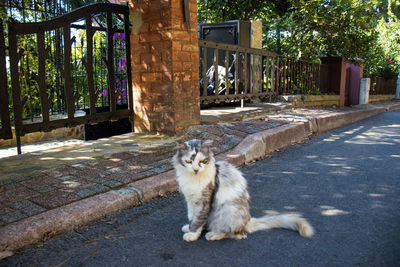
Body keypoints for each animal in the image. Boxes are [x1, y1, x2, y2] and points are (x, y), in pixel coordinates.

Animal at [173, 140, 314, 243]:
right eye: (189, 161)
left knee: (231, 233)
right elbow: (192, 217)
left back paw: (213, 235)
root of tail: (247, 221)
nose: (196, 170)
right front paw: (189, 228)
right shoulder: (190, 201)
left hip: (226, 210)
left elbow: (198, 220)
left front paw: (192, 234)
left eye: (202, 161)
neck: (192, 179)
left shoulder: (203, 202)